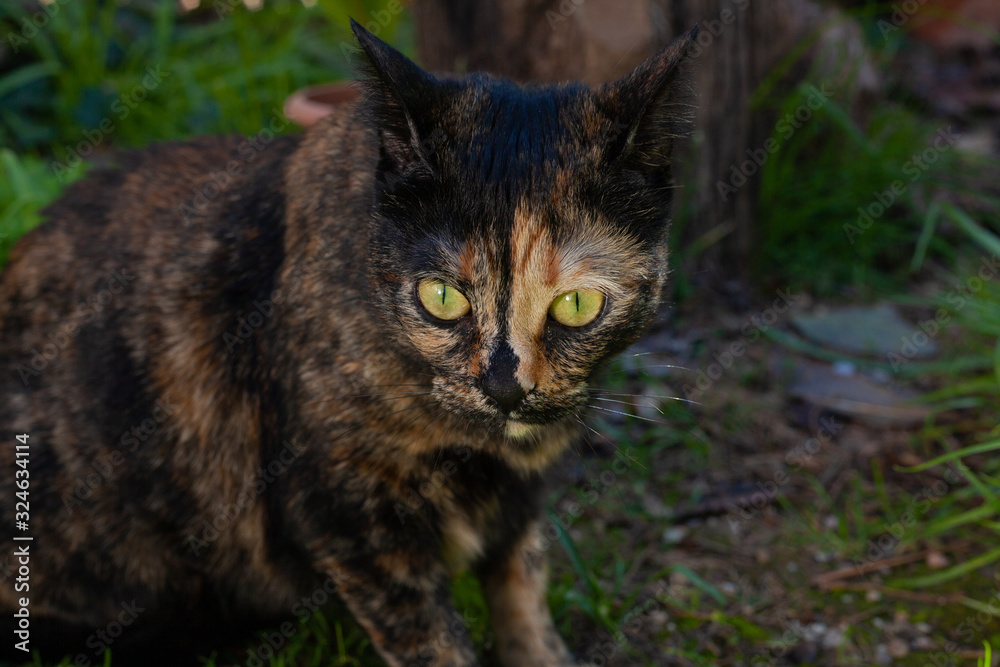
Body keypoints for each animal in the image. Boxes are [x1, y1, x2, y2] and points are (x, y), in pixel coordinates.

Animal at [0, 20, 700, 667]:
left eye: (575, 305)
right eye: (440, 296)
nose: (503, 386)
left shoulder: (518, 506)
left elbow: (525, 598)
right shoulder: (349, 514)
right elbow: (435, 645)